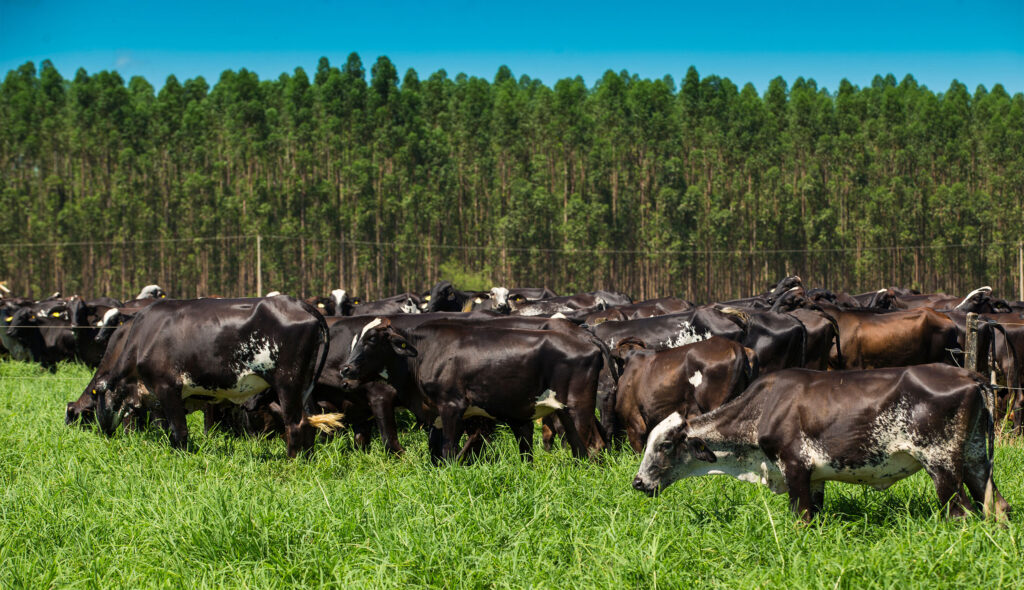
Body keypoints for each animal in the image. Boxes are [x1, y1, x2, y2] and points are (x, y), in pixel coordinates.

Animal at [64, 296, 329, 458]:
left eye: (98, 397)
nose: (103, 432)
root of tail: (299, 304)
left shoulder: (167, 387)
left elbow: (179, 431)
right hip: (304, 386)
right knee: (309, 422)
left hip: (287, 384)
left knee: (295, 425)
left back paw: (291, 462)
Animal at [632, 364, 1010, 521]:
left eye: (664, 445)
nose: (637, 482)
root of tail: (969, 375)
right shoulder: (815, 478)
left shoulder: (795, 467)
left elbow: (801, 518)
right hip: (976, 460)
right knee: (997, 506)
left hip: (942, 465)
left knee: (960, 513)